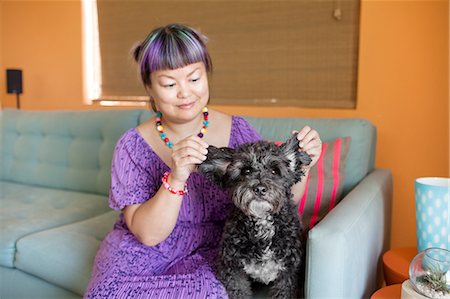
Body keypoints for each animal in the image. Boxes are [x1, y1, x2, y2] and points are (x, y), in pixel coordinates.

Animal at [199, 134, 312, 299]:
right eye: (246, 170)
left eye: (274, 171)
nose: (259, 188)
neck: (261, 220)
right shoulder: (233, 271)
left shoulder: (288, 273)